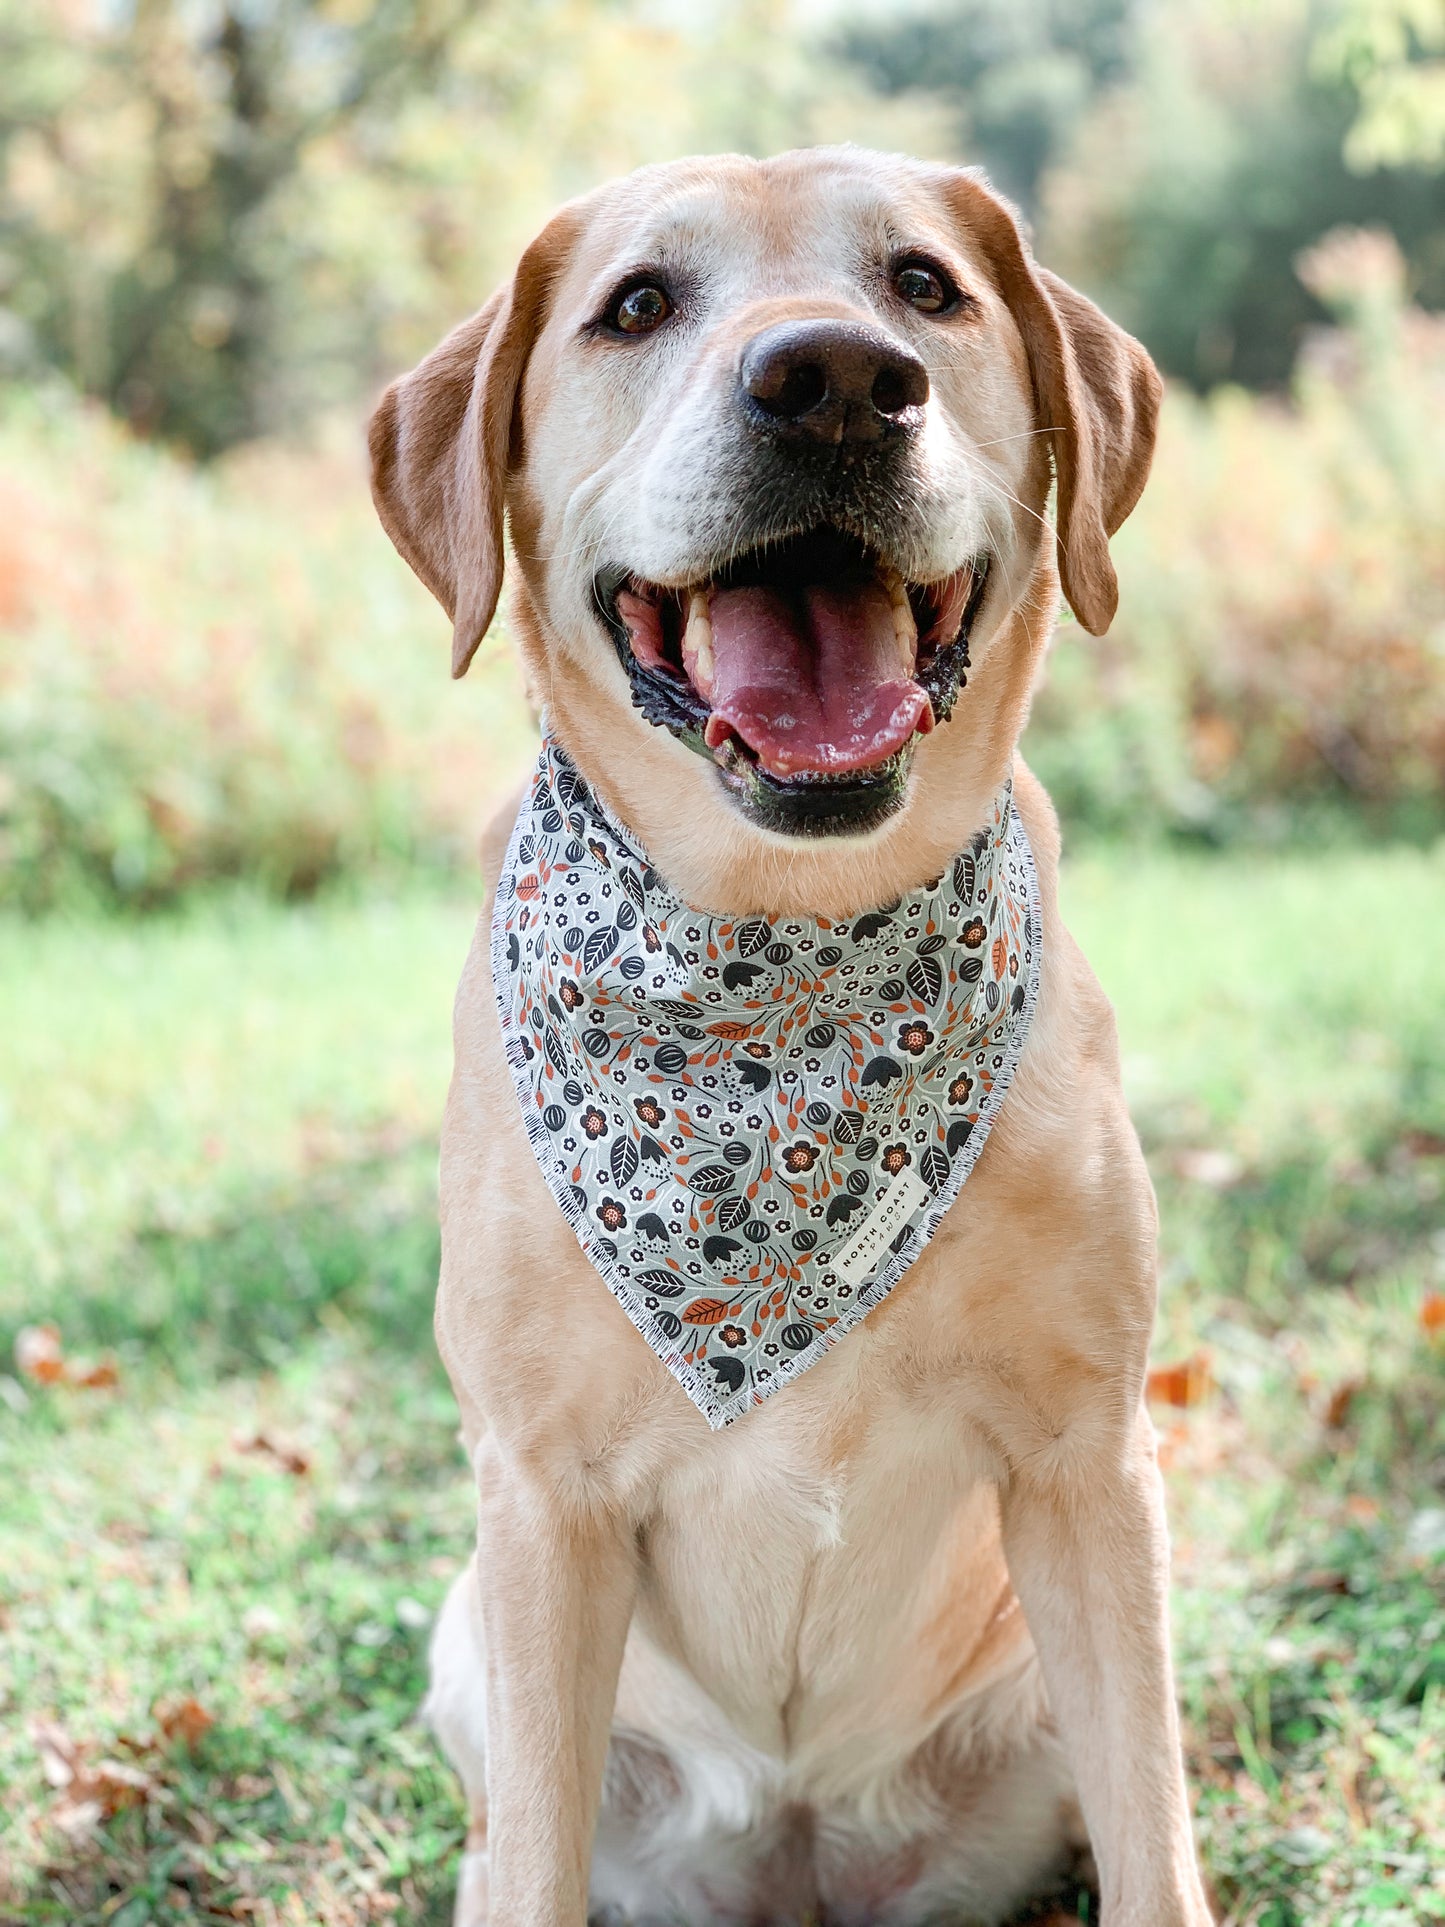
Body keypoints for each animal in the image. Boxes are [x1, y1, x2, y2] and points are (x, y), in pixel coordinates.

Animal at [367, 146, 1217, 1927]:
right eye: (636, 303)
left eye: (924, 286)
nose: (831, 381)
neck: (783, 970)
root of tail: (796, 1853)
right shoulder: (540, 1501)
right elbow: (534, 1858)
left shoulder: (1089, 1465)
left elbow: (1158, 1850)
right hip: (473, 1645)